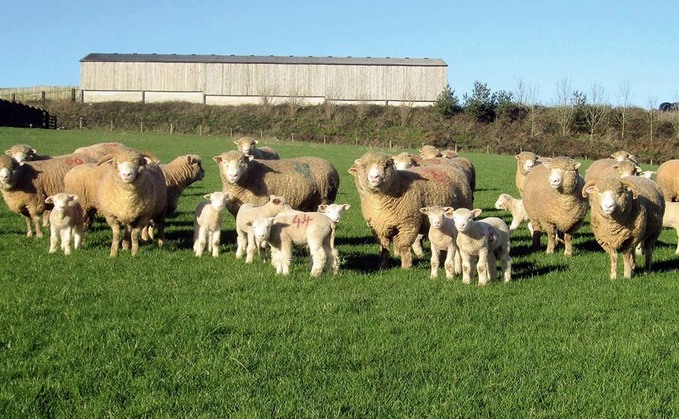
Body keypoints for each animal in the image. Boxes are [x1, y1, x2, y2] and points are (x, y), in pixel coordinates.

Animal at [212, 151, 340, 218]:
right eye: (224, 162)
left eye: (242, 162)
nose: (233, 175)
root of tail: (330, 164)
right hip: (311, 203)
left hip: (325, 200)